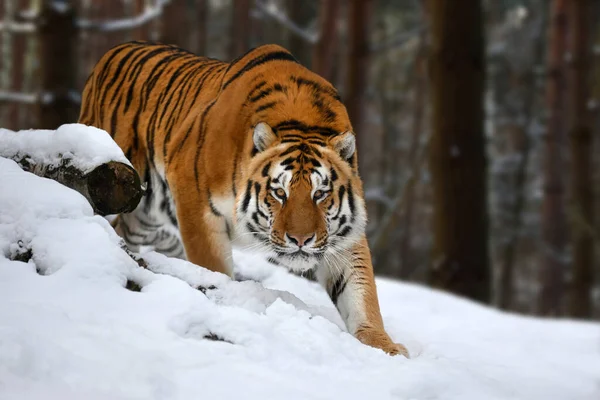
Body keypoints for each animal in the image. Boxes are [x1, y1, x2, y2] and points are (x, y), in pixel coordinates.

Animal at [78, 40, 408, 356]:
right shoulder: (196, 204)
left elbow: (360, 291)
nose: (301, 240)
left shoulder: (343, 234)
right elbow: (213, 266)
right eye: (279, 192)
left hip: (143, 213)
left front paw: (384, 346)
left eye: (320, 194)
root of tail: (111, 52)